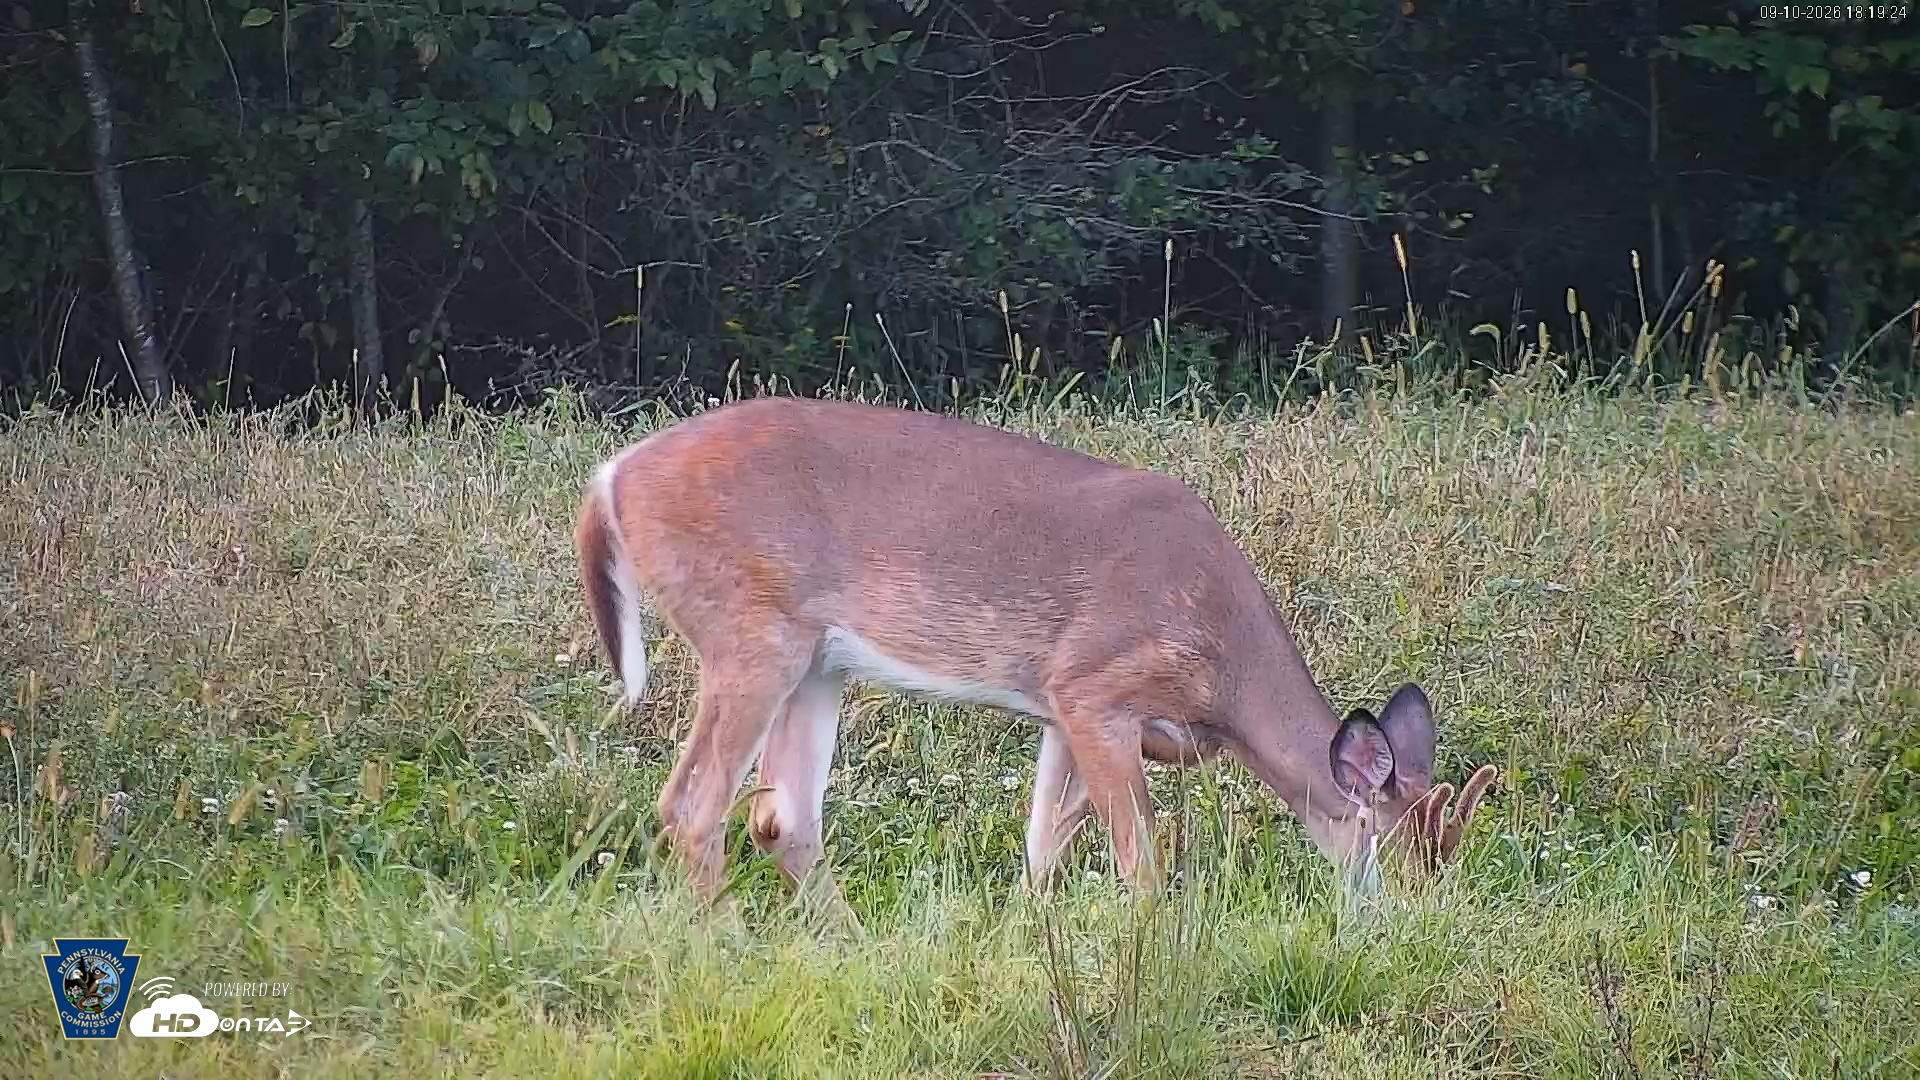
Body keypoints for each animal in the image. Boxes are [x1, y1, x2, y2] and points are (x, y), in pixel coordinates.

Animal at [574, 395, 1496, 909]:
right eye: (1399, 853)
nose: (1423, 926)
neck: (1226, 687)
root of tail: (610, 476)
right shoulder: (1096, 683)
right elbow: (1140, 863)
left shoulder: (1062, 706)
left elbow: (1042, 845)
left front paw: (1038, 941)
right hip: (749, 631)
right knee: (694, 804)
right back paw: (725, 937)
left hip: (816, 660)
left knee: (782, 814)